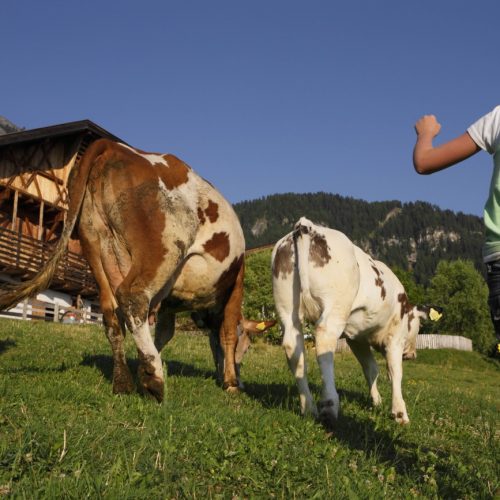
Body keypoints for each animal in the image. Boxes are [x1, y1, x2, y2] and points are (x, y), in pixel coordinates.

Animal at [0, 139, 266, 400]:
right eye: (246, 346)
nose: (241, 381)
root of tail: (114, 146)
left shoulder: (167, 302)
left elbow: (166, 333)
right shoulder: (236, 281)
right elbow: (227, 333)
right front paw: (231, 383)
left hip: (96, 244)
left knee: (112, 313)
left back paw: (124, 382)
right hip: (163, 251)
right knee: (132, 297)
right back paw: (153, 377)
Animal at [272, 217, 440, 428]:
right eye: (418, 325)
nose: (412, 354)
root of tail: (307, 226)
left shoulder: (356, 338)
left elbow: (371, 369)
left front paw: (377, 401)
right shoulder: (395, 336)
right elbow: (394, 372)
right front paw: (399, 413)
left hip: (287, 309)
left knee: (293, 348)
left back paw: (308, 408)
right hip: (335, 306)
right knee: (324, 342)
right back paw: (329, 406)